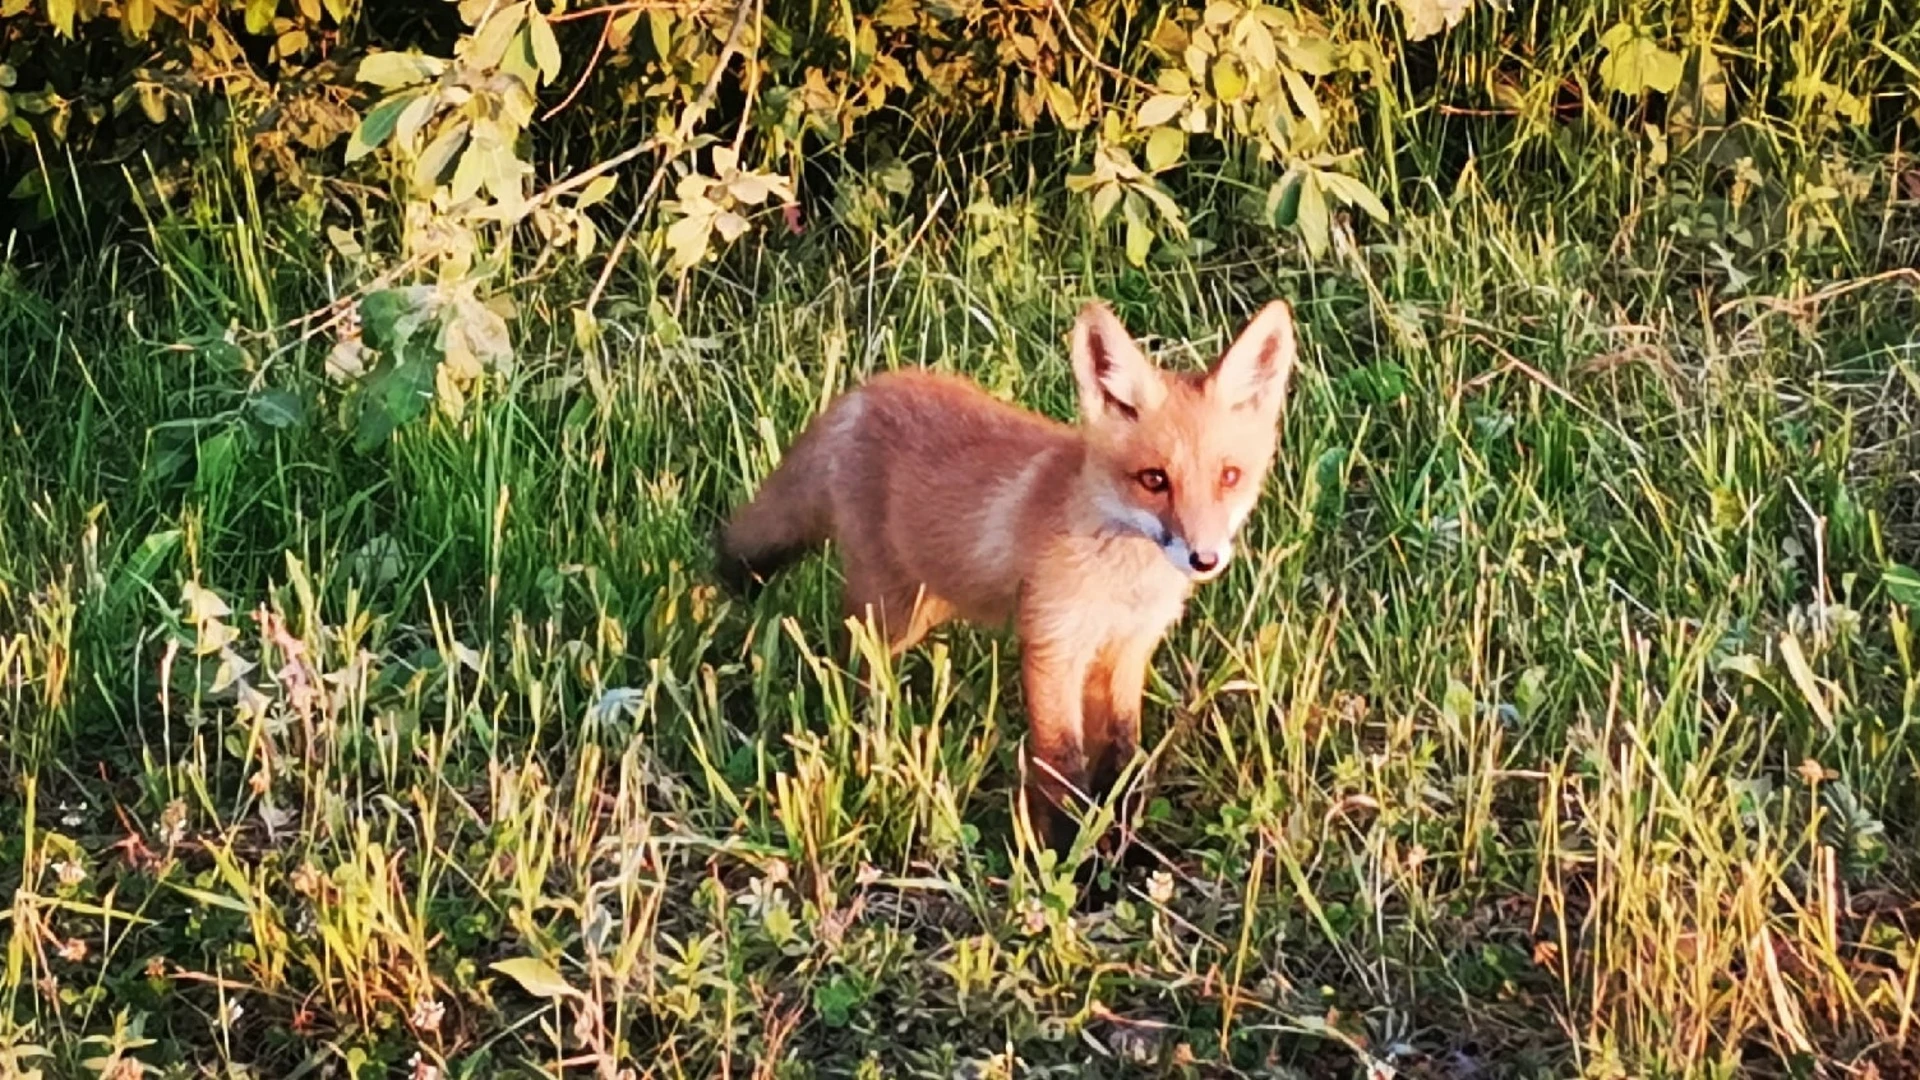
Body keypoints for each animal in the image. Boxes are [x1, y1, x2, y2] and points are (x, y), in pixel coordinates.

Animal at [714, 297, 1297, 860]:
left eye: (1229, 477)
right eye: (1154, 479)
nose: (1205, 558)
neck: (1122, 585)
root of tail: (864, 391)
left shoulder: (1126, 650)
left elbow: (1121, 761)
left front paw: (1127, 852)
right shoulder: (1052, 644)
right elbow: (1061, 765)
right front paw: (1069, 861)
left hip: (931, 601)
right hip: (893, 611)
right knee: (853, 666)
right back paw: (866, 739)